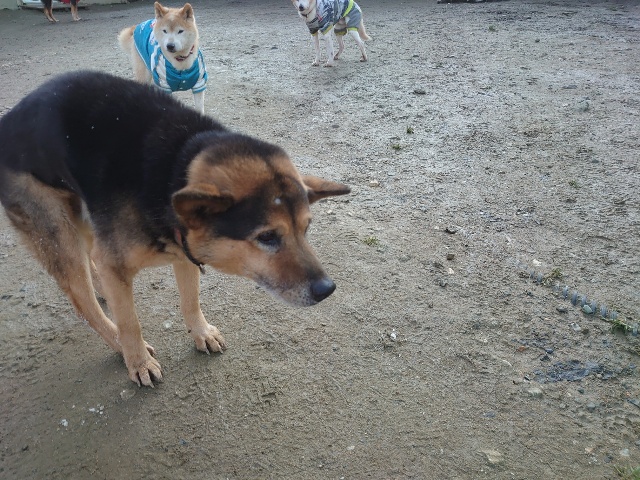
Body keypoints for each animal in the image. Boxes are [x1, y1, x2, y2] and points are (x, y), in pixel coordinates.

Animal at [0, 71, 350, 387]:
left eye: (306, 228)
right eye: (267, 237)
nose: (327, 289)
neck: (175, 168)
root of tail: (8, 120)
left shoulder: (184, 251)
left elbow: (190, 300)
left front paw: (201, 332)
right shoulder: (121, 261)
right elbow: (130, 322)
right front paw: (138, 361)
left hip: (81, 216)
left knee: (92, 262)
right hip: (57, 229)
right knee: (83, 300)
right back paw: (117, 342)